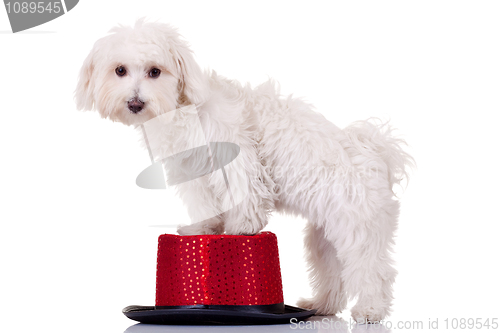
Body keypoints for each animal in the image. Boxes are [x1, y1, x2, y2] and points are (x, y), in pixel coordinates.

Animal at [76, 18, 414, 322]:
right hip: (326, 240)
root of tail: (376, 153)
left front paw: (242, 228)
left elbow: (244, 193)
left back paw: (370, 310)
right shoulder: (194, 174)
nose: (135, 102)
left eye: (155, 72)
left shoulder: (236, 157)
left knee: (373, 270)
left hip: (359, 230)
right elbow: (204, 205)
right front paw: (204, 228)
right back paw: (322, 305)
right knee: (335, 274)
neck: (184, 107)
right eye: (120, 70)